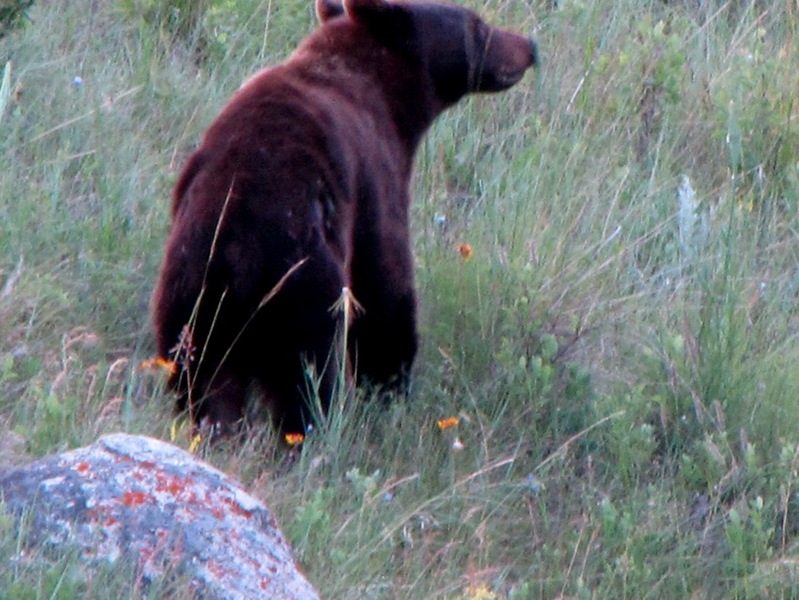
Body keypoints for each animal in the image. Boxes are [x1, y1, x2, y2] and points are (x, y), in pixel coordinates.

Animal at [152, 0, 537, 436]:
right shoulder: (374, 172)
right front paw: (389, 387)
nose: (529, 45)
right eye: (477, 25)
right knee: (306, 377)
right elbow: (385, 285)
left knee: (200, 381)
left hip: (191, 297)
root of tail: (238, 250)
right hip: (303, 287)